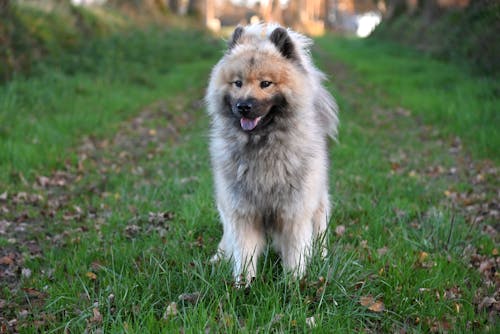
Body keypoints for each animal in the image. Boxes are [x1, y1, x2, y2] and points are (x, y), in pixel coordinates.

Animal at [205, 23, 338, 284]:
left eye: (265, 83)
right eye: (237, 83)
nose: (243, 106)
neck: (262, 147)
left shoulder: (294, 214)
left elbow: (296, 254)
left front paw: (293, 285)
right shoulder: (242, 213)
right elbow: (244, 253)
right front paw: (244, 285)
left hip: (317, 206)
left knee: (319, 235)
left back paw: (322, 260)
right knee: (227, 238)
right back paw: (219, 258)